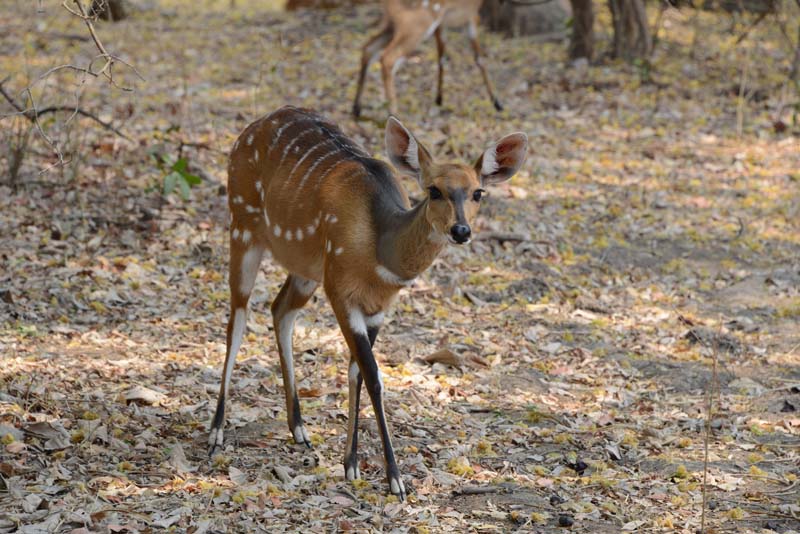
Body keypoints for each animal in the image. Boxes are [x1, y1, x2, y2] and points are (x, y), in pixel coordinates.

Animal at [209, 107, 528, 500]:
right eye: (433, 190)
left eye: (478, 192)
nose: (461, 231)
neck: (380, 249)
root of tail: (251, 128)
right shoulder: (340, 290)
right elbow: (375, 376)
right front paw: (395, 479)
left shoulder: (379, 306)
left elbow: (358, 372)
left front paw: (351, 464)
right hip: (243, 225)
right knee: (237, 319)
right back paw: (217, 431)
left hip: (306, 266)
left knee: (280, 310)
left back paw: (299, 429)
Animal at [354, 0, 504, 118]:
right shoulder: (471, 17)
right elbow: (479, 58)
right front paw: (497, 103)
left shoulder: (442, 24)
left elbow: (441, 56)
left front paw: (439, 99)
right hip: (418, 23)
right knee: (388, 57)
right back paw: (394, 115)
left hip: (392, 24)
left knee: (368, 48)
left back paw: (356, 108)